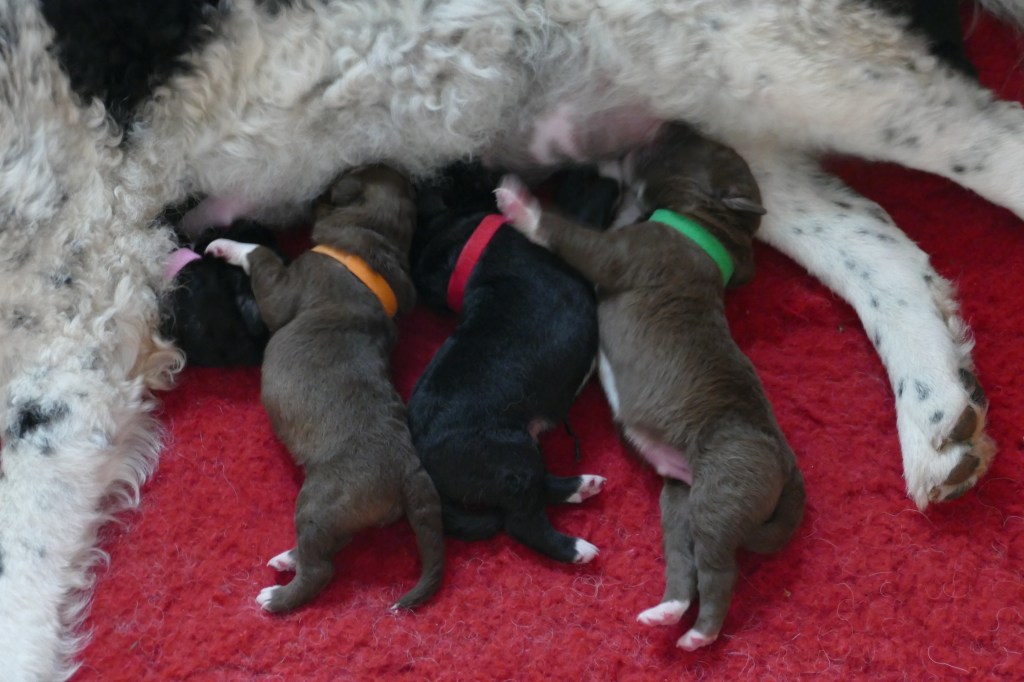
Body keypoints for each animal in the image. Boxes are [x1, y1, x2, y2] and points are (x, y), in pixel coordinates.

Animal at [203, 165, 445, 613]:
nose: (311, 194)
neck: (373, 243)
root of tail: (409, 470)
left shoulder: (285, 286)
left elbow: (262, 256)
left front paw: (227, 245)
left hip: (321, 498)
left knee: (321, 569)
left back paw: (276, 597)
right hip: (342, 513)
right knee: (330, 545)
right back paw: (288, 557)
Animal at [407, 164, 619, 564]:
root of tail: (423, 464)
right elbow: (569, 217)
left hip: (520, 456)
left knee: (538, 489)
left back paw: (580, 485)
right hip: (510, 457)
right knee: (522, 521)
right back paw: (575, 548)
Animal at [496, 122, 807, 650]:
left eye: (700, 146)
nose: (674, 122)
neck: (707, 229)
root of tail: (786, 466)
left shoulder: (620, 253)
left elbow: (569, 235)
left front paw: (520, 204)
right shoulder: (626, 228)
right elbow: (619, 206)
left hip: (722, 494)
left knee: (718, 571)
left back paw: (699, 635)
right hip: (680, 499)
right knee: (686, 561)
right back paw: (667, 611)